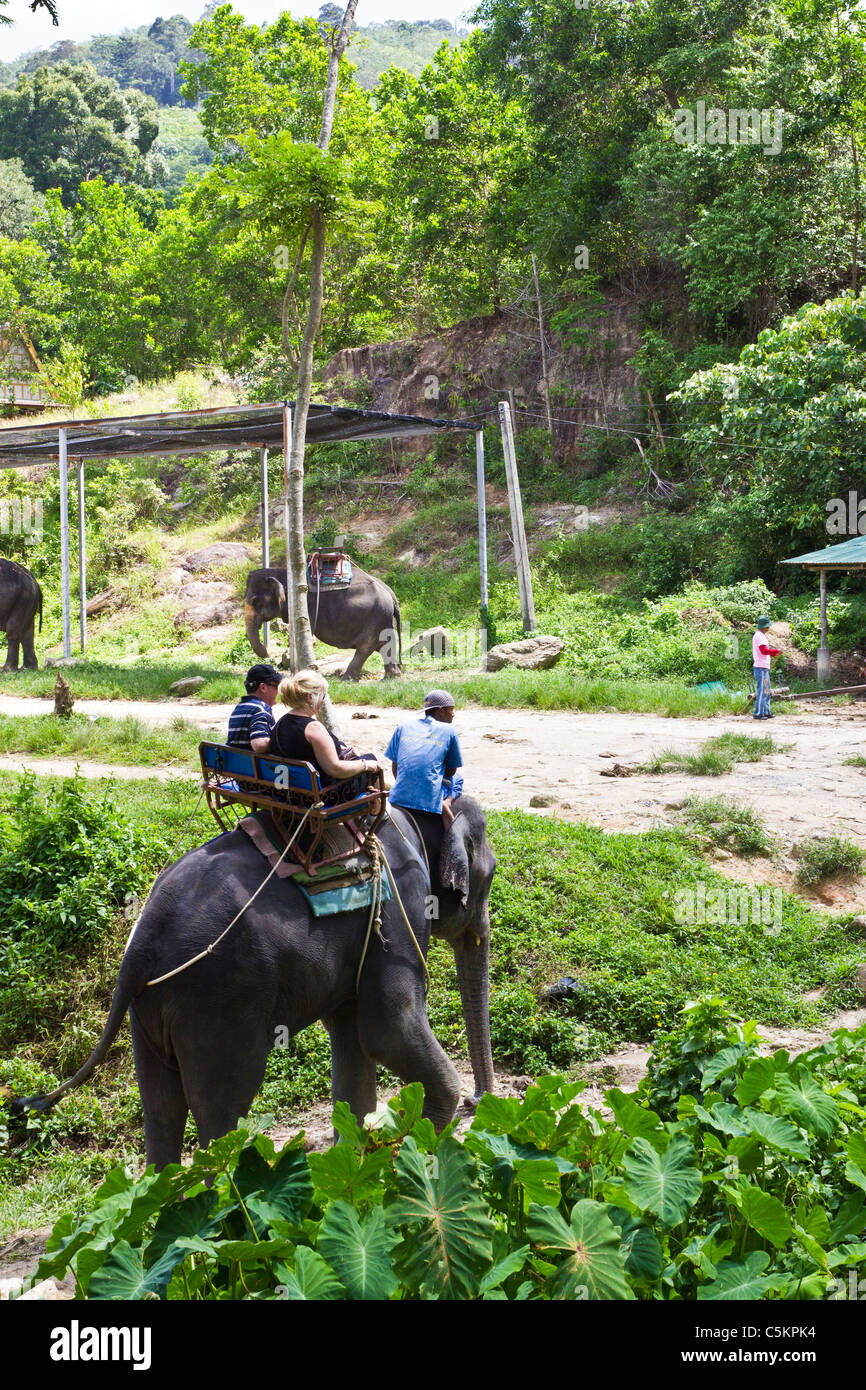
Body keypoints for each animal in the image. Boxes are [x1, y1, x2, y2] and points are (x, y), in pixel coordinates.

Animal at [13, 798, 496, 1170]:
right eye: (489, 876)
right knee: (221, 1112)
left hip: (148, 1011)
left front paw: (355, 1172)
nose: (478, 1103)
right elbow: (387, 1030)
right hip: (217, 1001)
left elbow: (353, 1041)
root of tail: (138, 950)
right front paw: (413, 1155)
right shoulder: (398, 906)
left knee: (161, 1108)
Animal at [244, 562, 402, 679]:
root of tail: (391, 594)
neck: (283, 573)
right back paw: (391, 678)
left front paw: (296, 675)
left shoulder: (305, 606)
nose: (267, 653)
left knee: (365, 647)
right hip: (382, 619)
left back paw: (346, 679)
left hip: (376, 616)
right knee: (386, 645)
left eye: (255, 601)